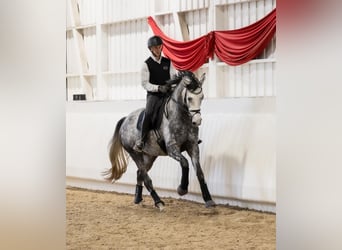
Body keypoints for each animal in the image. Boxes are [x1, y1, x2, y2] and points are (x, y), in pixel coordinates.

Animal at [104, 71, 215, 210]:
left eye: (202, 97)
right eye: (189, 98)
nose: (197, 121)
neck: (181, 117)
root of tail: (125, 120)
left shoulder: (193, 146)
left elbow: (200, 172)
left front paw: (209, 200)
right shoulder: (173, 149)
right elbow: (185, 163)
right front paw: (182, 189)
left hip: (150, 156)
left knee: (140, 173)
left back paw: (138, 198)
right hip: (134, 153)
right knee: (145, 177)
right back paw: (158, 202)